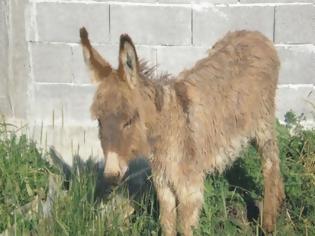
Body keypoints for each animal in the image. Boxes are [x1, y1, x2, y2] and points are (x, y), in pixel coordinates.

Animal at [79, 28, 286, 236]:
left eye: (129, 120)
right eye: (99, 121)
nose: (111, 175)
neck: (167, 130)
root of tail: (255, 34)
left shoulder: (190, 190)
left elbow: (185, 228)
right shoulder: (163, 186)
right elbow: (167, 224)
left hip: (263, 124)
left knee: (271, 163)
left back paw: (269, 222)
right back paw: (280, 200)